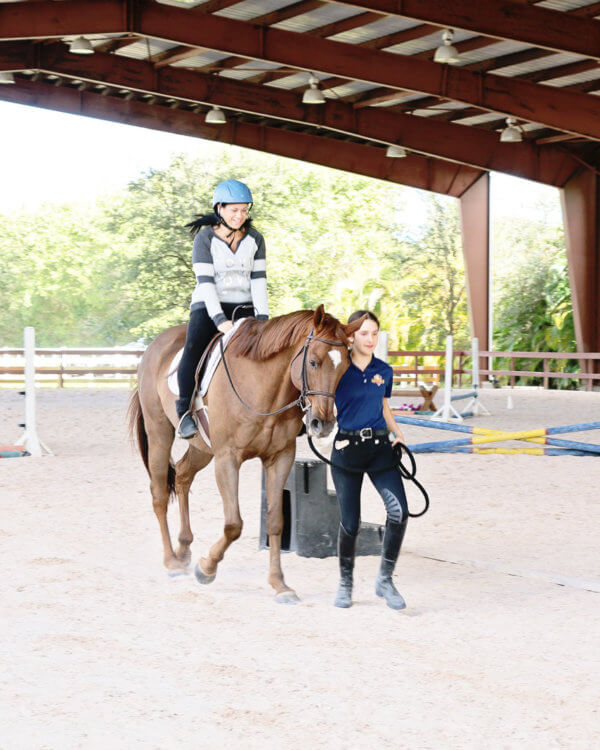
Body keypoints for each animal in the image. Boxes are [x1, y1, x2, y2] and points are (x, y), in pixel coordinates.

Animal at [129, 306, 364, 604]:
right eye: (313, 362)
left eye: (345, 368)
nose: (322, 424)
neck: (264, 388)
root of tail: (155, 345)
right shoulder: (227, 458)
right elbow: (233, 524)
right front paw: (207, 569)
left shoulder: (280, 457)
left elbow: (276, 521)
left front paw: (280, 584)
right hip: (159, 433)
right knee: (159, 493)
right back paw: (171, 561)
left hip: (202, 447)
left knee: (182, 475)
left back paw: (183, 549)